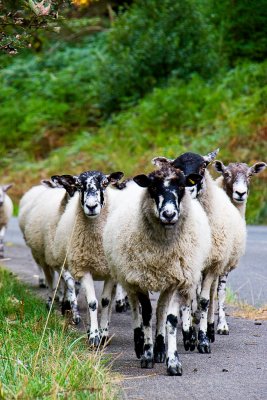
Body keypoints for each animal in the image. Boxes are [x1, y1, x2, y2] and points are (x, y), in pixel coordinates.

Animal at [50, 170, 124, 346]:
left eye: (105, 183)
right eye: (78, 185)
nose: (91, 206)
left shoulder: (110, 273)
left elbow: (105, 301)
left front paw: (103, 333)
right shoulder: (83, 269)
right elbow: (92, 302)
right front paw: (94, 336)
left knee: (110, 300)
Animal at [103, 163, 213, 376]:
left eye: (182, 186)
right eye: (153, 187)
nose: (169, 214)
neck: (161, 252)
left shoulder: (175, 279)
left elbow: (170, 318)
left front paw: (173, 362)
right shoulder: (139, 279)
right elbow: (146, 314)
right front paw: (147, 355)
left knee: (161, 310)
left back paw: (160, 350)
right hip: (127, 277)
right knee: (136, 309)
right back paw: (140, 345)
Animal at [213, 159, 266, 334]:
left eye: (250, 175)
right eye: (226, 174)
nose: (241, 193)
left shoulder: (225, 261)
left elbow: (220, 293)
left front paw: (222, 325)